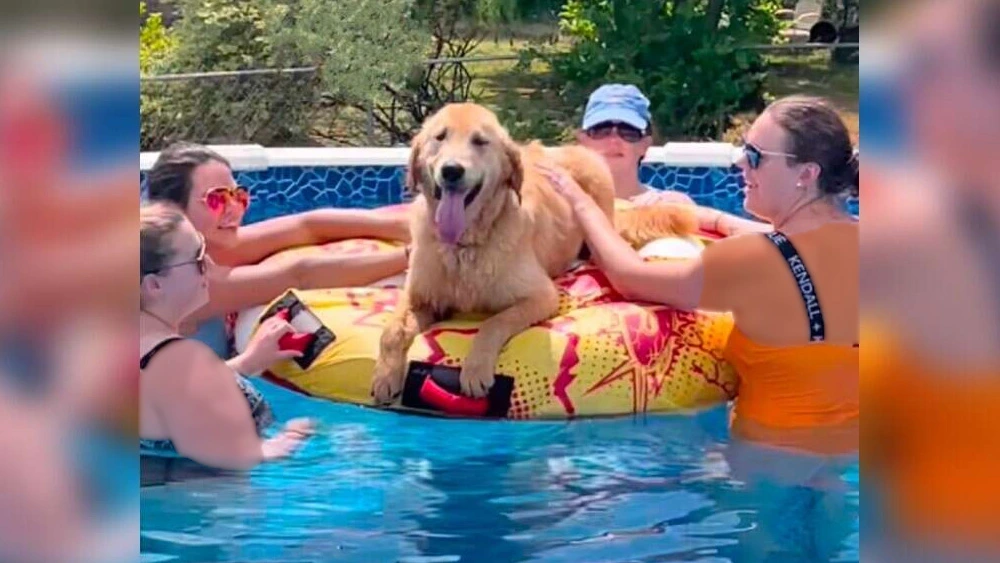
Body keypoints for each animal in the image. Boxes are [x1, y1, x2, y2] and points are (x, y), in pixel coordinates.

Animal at [372, 102, 700, 406]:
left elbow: (493, 323)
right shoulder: (420, 297)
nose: (452, 171)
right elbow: (391, 331)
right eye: (440, 137)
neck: (465, 246)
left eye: (480, 141)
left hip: (595, 175)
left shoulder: (541, 296)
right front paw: (385, 375)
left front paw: (475, 369)